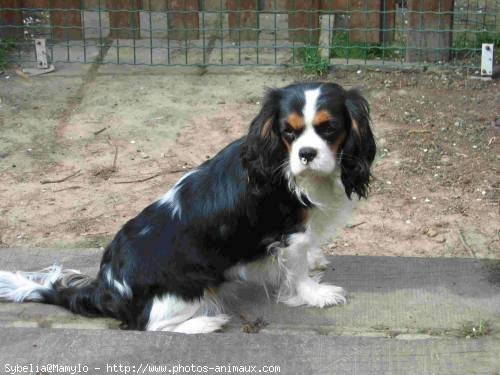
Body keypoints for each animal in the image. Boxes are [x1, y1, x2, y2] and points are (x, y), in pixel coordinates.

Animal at [0, 82, 376, 334]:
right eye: (288, 132)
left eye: (329, 128)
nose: (306, 154)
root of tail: (107, 285)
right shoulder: (289, 234)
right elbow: (296, 273)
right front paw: (316, 293)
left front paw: (315, 261)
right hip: (188, 286)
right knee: (147, 325)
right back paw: (206, 323)